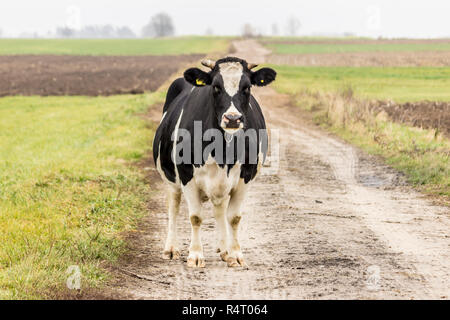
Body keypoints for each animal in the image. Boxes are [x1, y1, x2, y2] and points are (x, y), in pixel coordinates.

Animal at [153, 57, 276, 268]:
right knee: (174, 208)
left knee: (219, 210)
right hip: (170, 179)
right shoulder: (187, 176)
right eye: (216, 86)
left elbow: (233, 218)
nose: (233, 118)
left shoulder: (245, 178)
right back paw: (171, 248)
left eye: (247, 87)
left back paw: (224, 249)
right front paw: (195, 255)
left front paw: (235, 254)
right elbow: (195, 217)